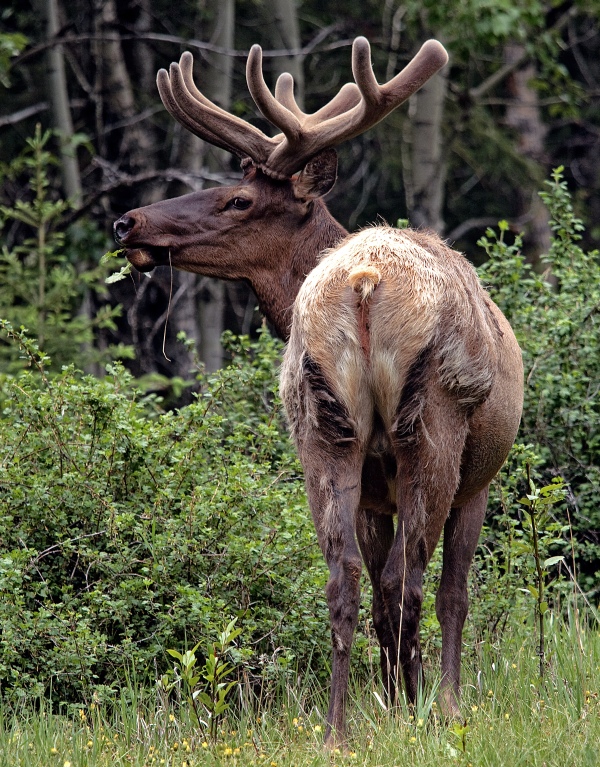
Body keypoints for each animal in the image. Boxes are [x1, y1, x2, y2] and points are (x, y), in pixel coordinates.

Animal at [113, 34, 524, 744]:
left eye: (238, 199)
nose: (128, 223)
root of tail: (364, 281)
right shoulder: (477, 478)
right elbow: (453, 594)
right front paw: (443, 705)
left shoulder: (387, 492)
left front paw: (397, 698)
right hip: (433, 427)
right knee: (409, 579)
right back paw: (413, 712)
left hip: (325, 428)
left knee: (346, 579)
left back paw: (341, 728)